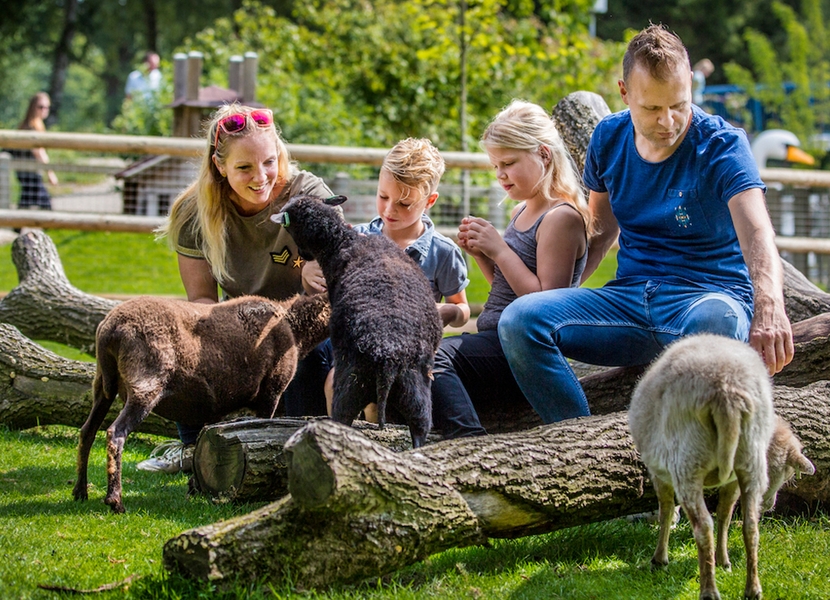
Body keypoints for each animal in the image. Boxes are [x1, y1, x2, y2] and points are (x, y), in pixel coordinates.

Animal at [72, 292, 332, 512]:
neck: (296, 330)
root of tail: (109, 330)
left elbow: (202, 440)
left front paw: (194, 487)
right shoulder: (271, 392)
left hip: (103, 384)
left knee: (87, 431)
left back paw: (80, 492)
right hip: (144, 382)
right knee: (115, 433)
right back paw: (115, 500)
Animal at [272, 195, 442, 448]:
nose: (303, 255)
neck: (342, 241)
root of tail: (388, 359)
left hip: (349, 387)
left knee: (342, 418)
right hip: (415, 389)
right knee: (421, 426)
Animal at [632, 336, 812, 596]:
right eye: (783, 473)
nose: (770, 505)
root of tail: (727, 393)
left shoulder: (660, 473)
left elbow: (666, 509)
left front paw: (659, 558)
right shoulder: (734, 481)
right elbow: (725, 515)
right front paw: (723, 559)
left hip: (688, 460)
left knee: (703, 527)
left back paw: (709, 590)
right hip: (750, 459)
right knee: (750, 527)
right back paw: (753, 589)